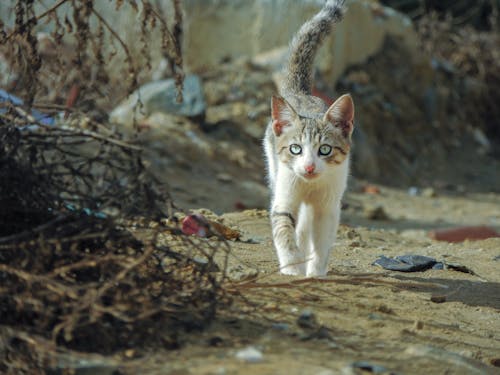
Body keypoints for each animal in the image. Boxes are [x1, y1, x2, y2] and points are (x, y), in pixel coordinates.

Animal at [264, 0, 354, 276]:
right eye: (295, 149)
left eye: (325, 150)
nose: (309, 167)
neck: (310, 186)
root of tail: (301, 92)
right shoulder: (284, 196)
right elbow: (284, 230)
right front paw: (292, 266)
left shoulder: (328, 207)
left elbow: (322, 243)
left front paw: (315, 272)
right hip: (275, 169)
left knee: (305, 226)